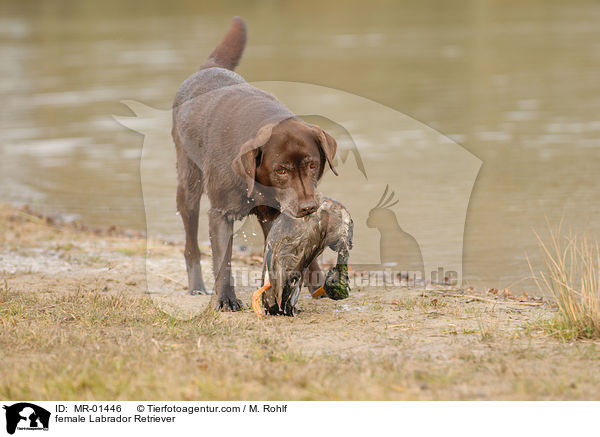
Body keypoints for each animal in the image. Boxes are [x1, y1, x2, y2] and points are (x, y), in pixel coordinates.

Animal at [171, 17, 338, 310]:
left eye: (312, 165)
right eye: (280, 170)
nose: (308, 207)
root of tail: (208, 67)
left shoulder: (277, 215)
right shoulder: (220, 214)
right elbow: (223, 260)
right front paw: (226, 299)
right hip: (188, 186)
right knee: (191, 244)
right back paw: (197, 287)